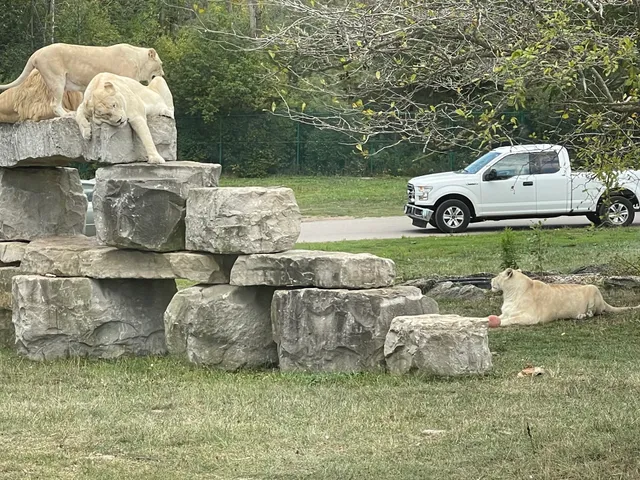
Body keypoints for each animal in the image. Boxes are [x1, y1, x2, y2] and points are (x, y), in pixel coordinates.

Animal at [0, 43, 164, 119]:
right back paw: (67, 114)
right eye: (161, 64)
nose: (163, 74)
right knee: (54, 104)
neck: (139, 60)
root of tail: (36, 53)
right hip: (57, 79)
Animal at [488, 268, 640, 327]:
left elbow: (511, 320)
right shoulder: (506, 313)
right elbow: (490, 317)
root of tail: (604, 301)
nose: (490, 280)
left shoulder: (531, 318)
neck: (509, 294)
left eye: (498, 275)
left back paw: (581, 316)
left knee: (593, 313)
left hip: (593, 288)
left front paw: (497, 323)